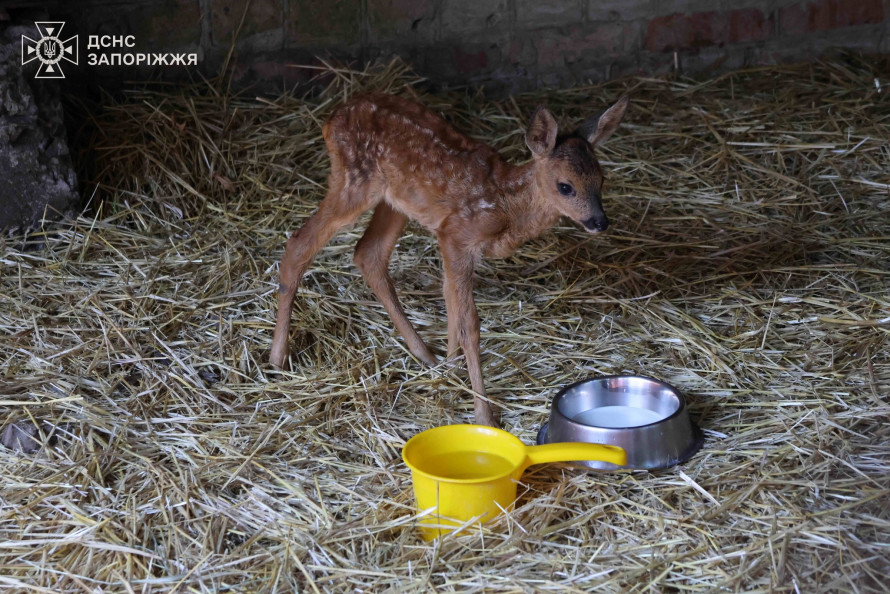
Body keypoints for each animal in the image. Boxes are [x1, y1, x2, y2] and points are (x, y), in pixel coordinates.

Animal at [268, 92, 624, 426]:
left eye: (602, 180)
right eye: (565, 186)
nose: (599, 221)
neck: (507, 207)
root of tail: (332, 118)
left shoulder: (448, 240)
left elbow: (450, 302)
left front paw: (452, 373)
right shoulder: (457, 235)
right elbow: (469, 323)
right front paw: (484, 414)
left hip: (394, 199)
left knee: (368, 254)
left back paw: (425, 354)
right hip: (354, 181)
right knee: (298, 245)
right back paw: (277, 359)